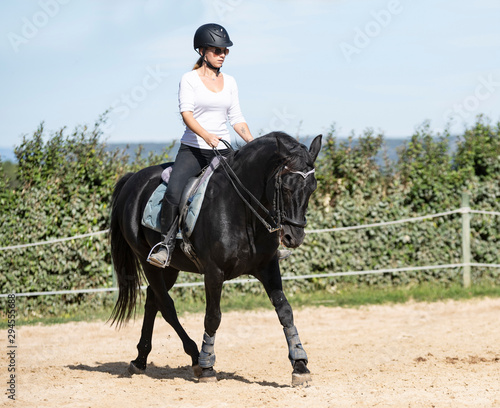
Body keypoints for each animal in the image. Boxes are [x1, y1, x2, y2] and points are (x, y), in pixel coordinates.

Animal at [109, 131, 322, 386]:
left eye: (312, 188)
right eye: (287, 187)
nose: (294, 237)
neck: (242, 210)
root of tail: (133, 179)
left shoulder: (268, 267)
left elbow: (285, 311)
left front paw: (300, 365)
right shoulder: (213, 272)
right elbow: (213, 317)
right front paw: (208, 366)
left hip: (171, 268)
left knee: (153, 300)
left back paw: (140, 360)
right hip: (147, 260)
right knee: (166, 305)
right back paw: (195, 357)